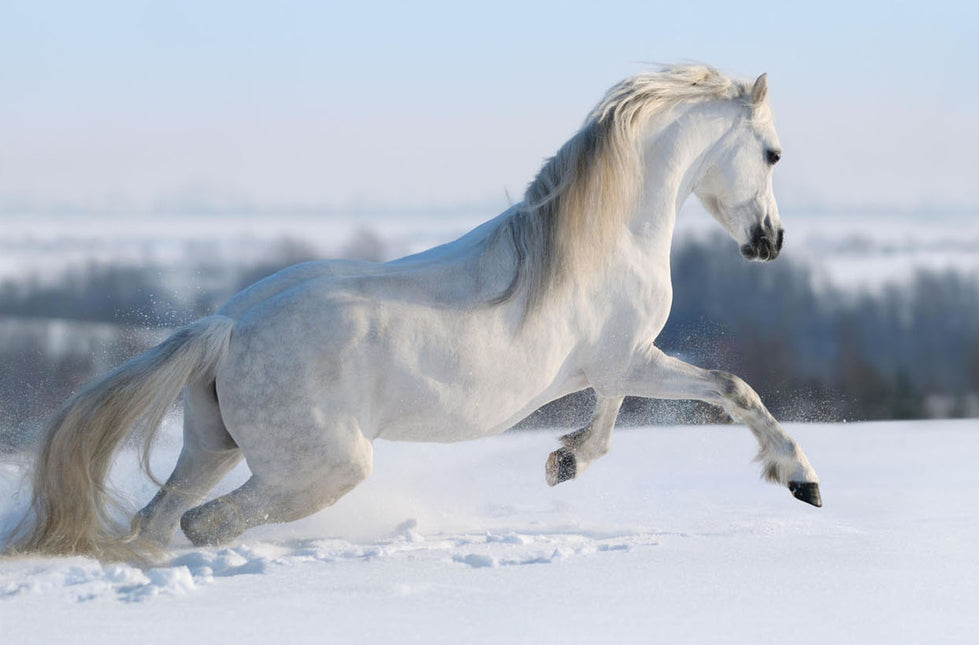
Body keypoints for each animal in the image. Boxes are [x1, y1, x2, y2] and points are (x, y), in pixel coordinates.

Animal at [6, 65, 821, 562]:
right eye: (773, 154)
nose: (770, 241)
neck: (604, 238)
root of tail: (228, 329)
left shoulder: (616, 364)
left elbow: (613, 415)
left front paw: (564, 461)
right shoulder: (632, 357)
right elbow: (732, 388)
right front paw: (800, 479)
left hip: (211, 446)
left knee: (159, 516)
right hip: (323, 466)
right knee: (205, 522)